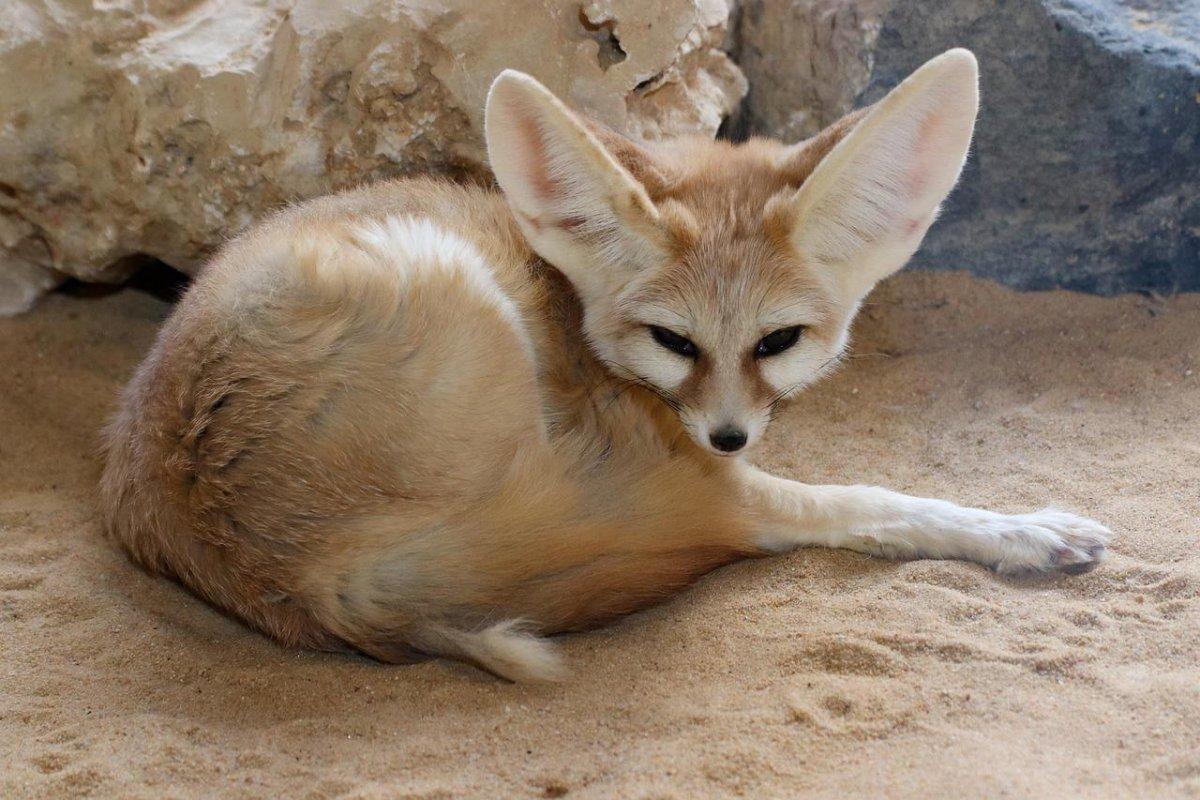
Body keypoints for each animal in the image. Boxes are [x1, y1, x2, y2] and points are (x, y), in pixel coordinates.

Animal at [98, 47, 1108, 681]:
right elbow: (878, 503)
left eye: (777, 343)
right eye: (674, 343)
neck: (568, 298)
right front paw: (1019, 529)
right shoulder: (714, 473)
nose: (727, 435)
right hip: (454, 283)